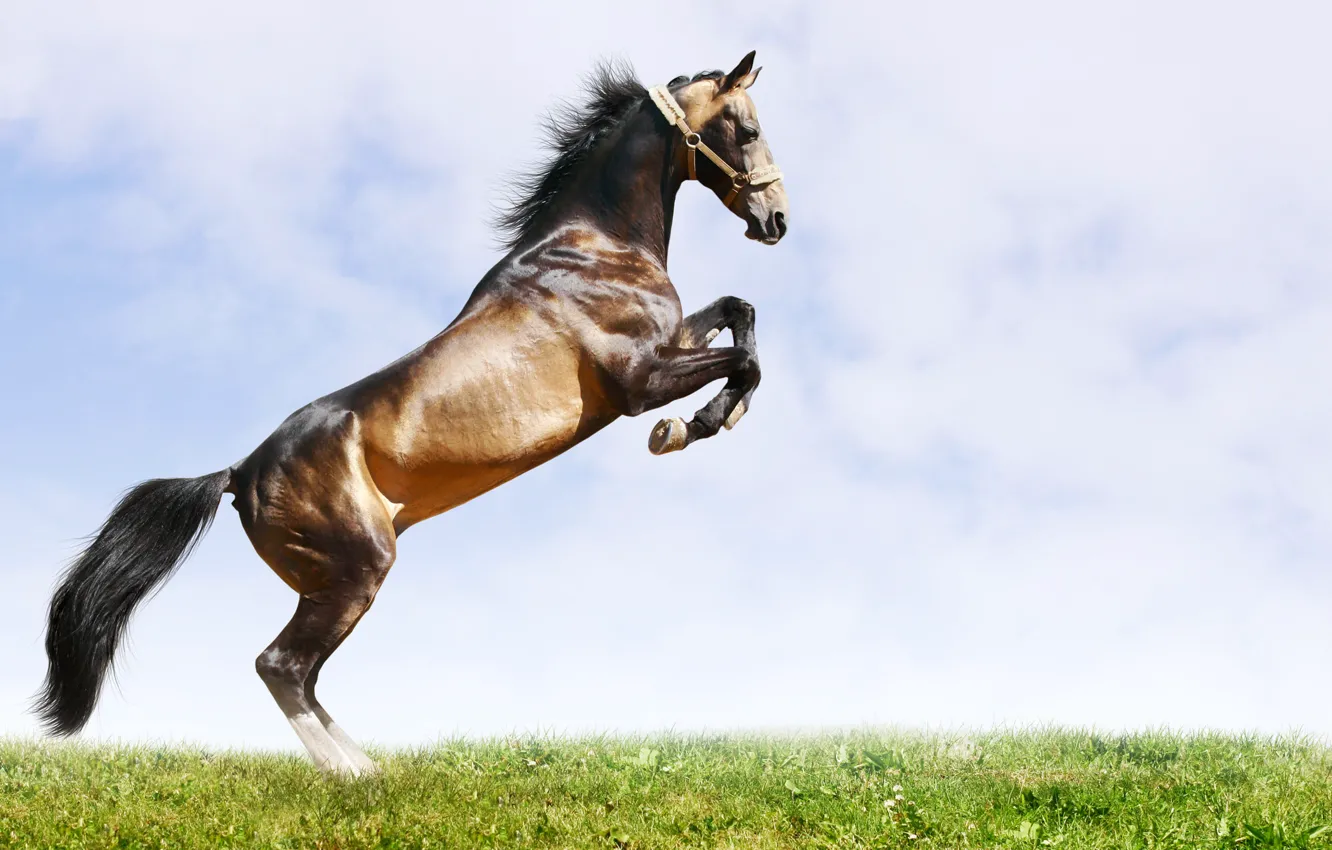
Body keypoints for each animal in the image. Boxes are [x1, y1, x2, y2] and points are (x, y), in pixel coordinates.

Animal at [36, 50, 789, 776]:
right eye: (748, 129)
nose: (776, 220)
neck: (595, 245)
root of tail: (238, 473)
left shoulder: (671, 343)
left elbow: (741, 314)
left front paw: (709, 417)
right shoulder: (638, 381)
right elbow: (743, 360)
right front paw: (690, 427)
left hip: (329, 582)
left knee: (303, 674)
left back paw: (372, 766)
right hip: (357, 569)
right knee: (281, 666)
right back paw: (350, 775)